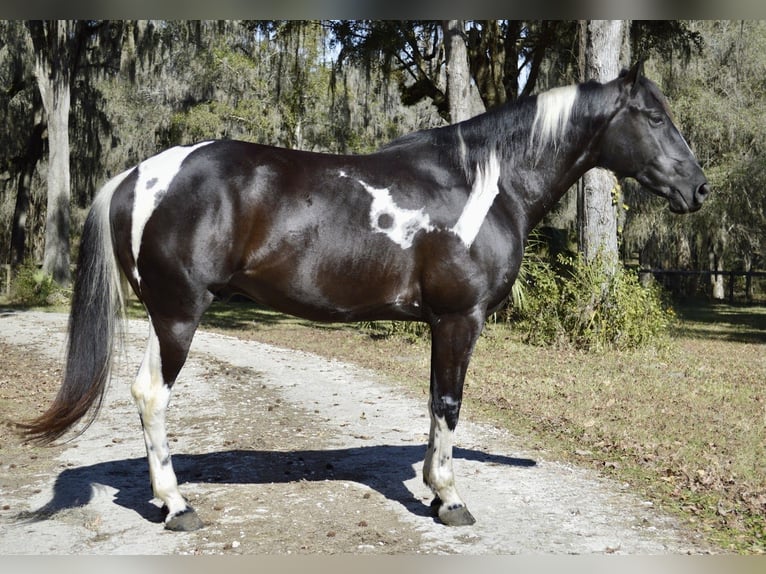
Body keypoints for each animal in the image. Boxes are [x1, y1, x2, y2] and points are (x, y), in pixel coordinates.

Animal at [19, 61, 710, 531]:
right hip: (178, 318)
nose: (699, 188)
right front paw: (450, 499)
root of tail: (137, 175)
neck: (483, 181)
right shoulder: (460, 318)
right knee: (150, 395)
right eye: (653, 118)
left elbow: (434, 402)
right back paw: (177, 505)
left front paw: (433, 487)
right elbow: (450, 403)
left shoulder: (438, 323)